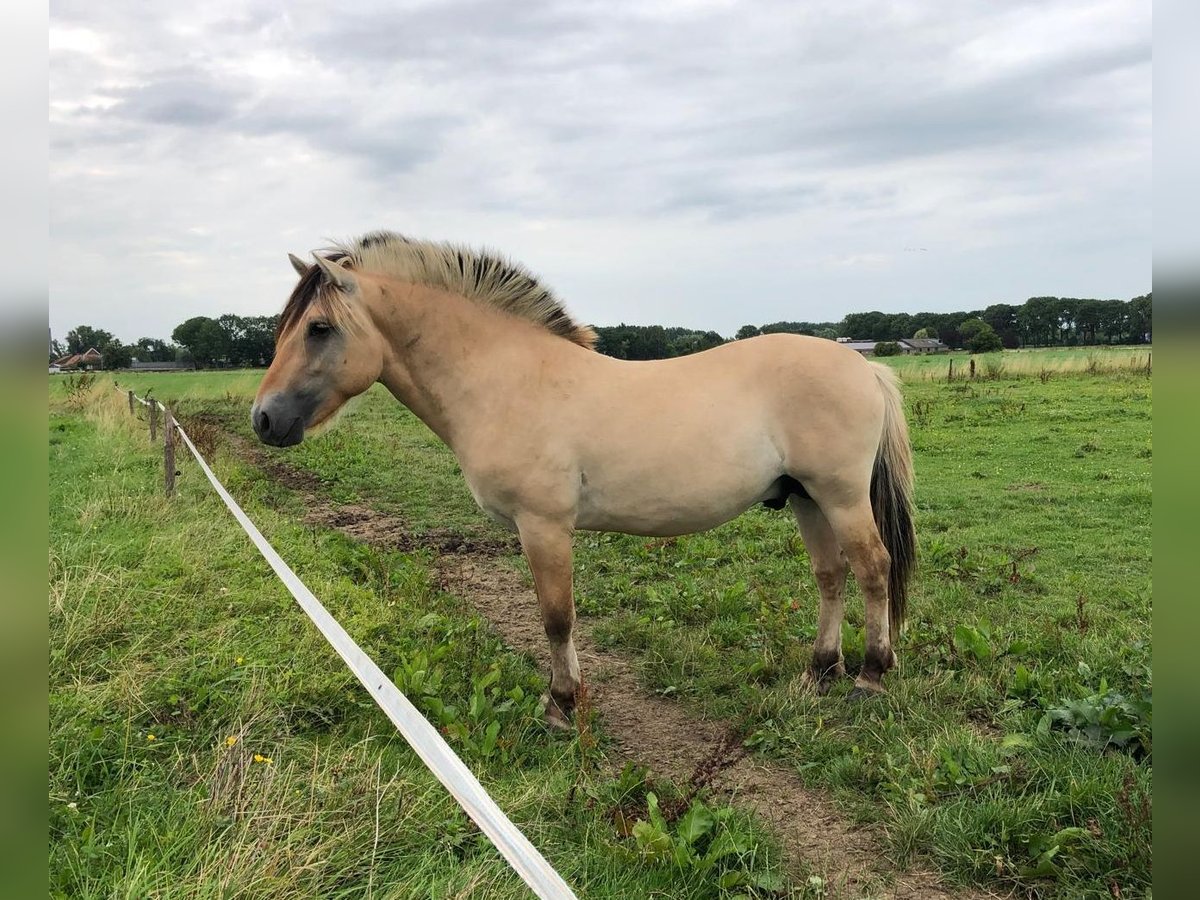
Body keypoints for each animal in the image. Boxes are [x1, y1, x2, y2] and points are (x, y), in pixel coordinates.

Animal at [248, 234, 912, 734]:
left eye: (318, 328)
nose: (264, 419)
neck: (506, 380)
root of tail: (864, 365)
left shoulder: (543, 527)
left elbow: (556, 617)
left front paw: (562, 707)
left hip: (840, 497)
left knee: (873, 568)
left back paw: (870, 676)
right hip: (806, 498)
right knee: (830, 575)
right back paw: (820, 670)